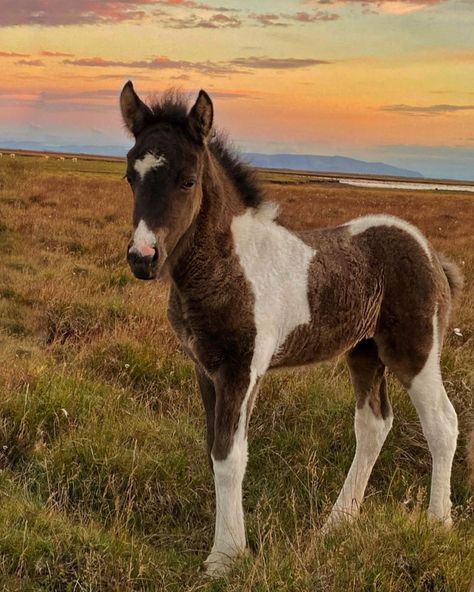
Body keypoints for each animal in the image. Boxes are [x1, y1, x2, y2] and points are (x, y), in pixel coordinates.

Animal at [119, 81, 462, 576]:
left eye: (188, 180)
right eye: (131, 176)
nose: (143, 258)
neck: (229, 265)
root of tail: (429, 251)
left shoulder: (242, 369)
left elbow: (229, 456)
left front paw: (225, 556)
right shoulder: (205, 368)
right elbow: (213, 449)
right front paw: (229, 545)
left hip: (415, 350)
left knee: (442, 424)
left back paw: (438, 523)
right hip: (364, 351)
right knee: (374, 425)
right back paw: (336, 525)